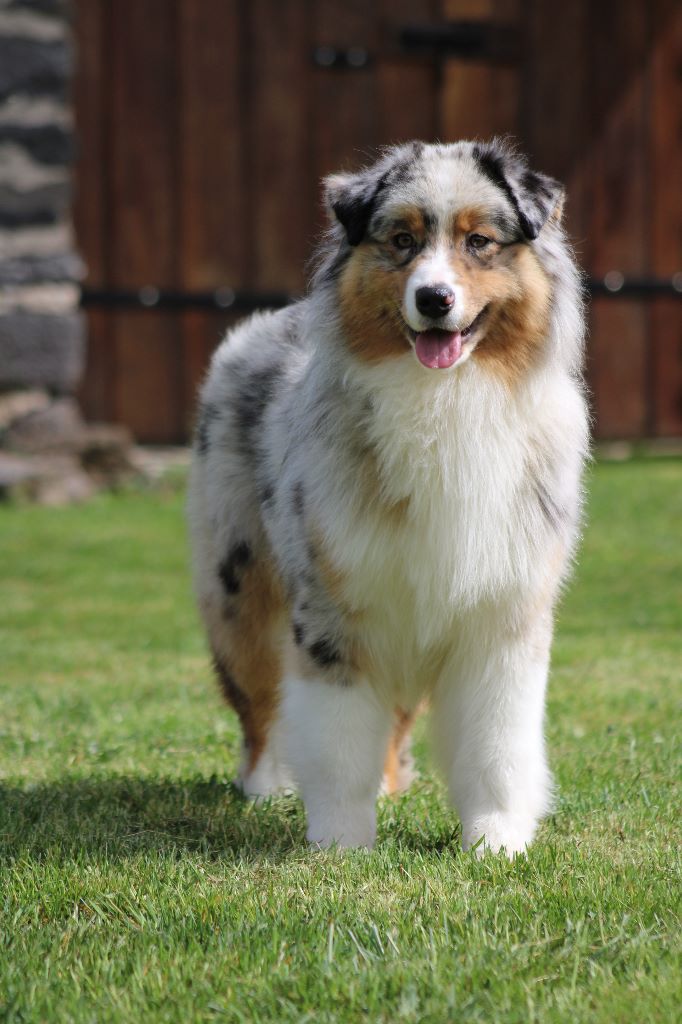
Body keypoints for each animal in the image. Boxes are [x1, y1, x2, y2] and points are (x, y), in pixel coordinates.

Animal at [187, 139, 588, 856]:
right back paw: (266, 785)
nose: (433, 298)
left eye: (479, 242)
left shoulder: (502, 613)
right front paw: (342, 843)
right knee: (260, 704)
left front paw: (496, 840)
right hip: (239, 585)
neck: (447, 401)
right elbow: (338, 737)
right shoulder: (333, 608)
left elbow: (497, 742)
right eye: (401, 241)